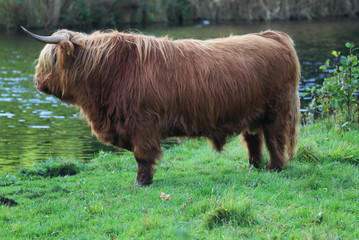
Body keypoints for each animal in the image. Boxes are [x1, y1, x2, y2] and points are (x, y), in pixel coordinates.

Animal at [22, 27, 302, 187]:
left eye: (50, 58)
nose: (37, 83)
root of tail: (272, 35)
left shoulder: (142, 123)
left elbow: (143, 156)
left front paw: (141, 182)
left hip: (276, 110)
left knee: (275, 140)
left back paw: (274, 168)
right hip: (251, 112)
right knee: (253, 139)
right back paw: (254, 166)